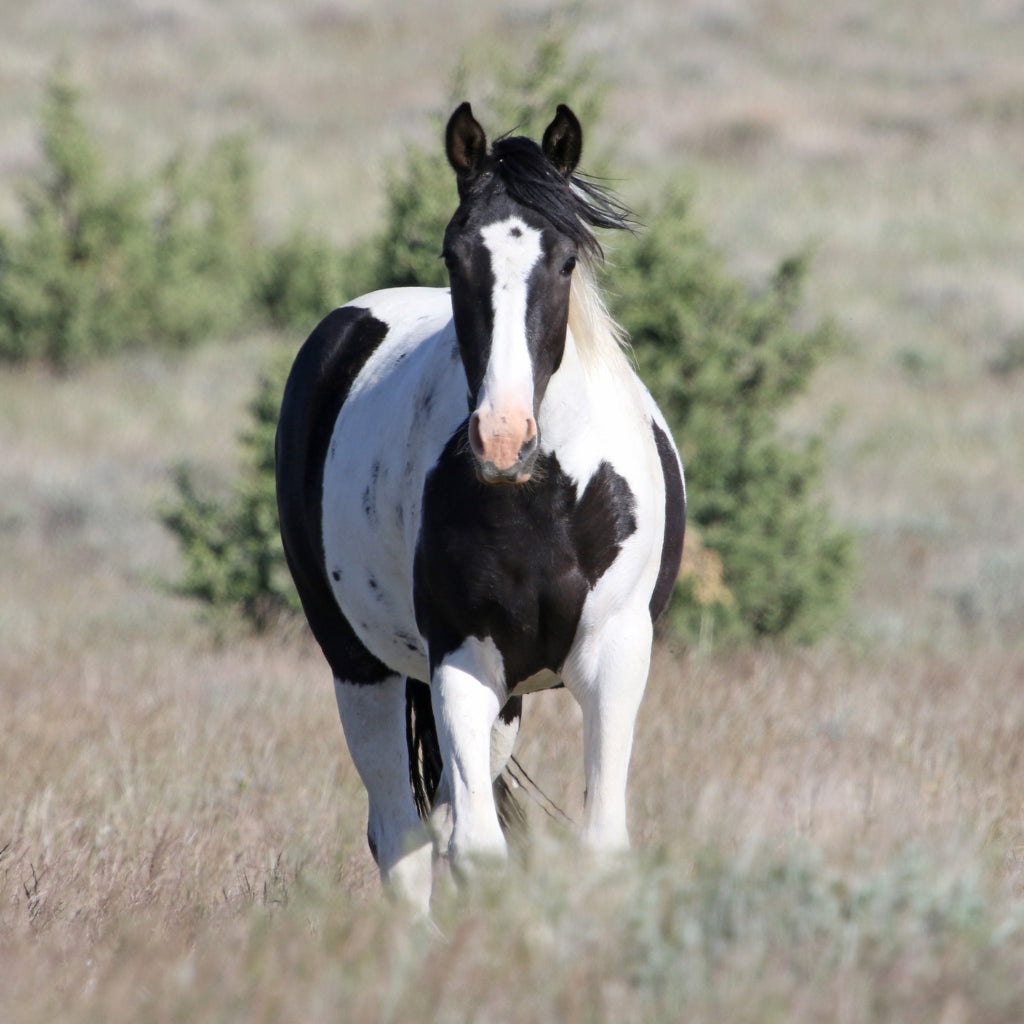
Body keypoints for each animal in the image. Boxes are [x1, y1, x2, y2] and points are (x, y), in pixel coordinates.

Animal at [276, 99, 684, 909]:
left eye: (566, 260)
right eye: (454, 256)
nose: (502, 439)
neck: (546, 501)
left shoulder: (615, 656)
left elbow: (599, 845)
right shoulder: (460, 660)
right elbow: (478, 852)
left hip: (510, 700)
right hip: (359, 664)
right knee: (399, 834)